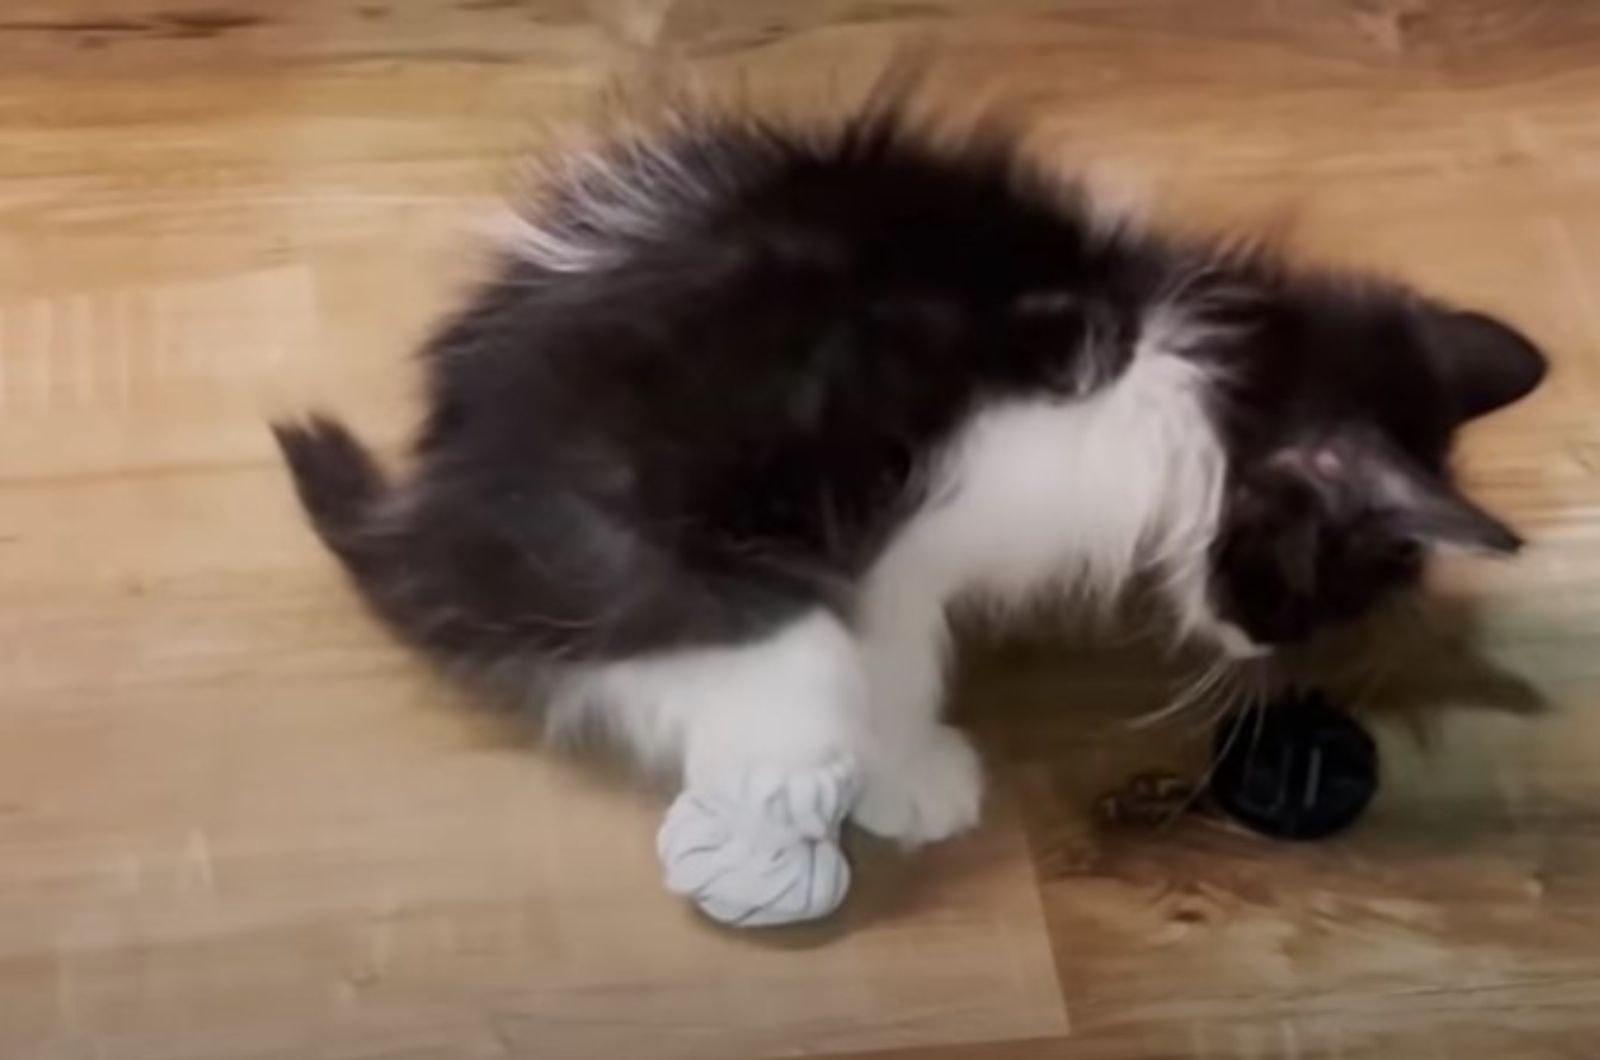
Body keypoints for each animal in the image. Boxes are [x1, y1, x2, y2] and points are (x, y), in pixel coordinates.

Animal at [278, 105, 1548, 922]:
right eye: (1322, 587)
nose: (1258, 647)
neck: (1177, 380)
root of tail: (430, 511)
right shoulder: (824, 479)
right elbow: (811, 630)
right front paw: (829, 756)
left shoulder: (915, 553)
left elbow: (893, 637)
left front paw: (896, 761)